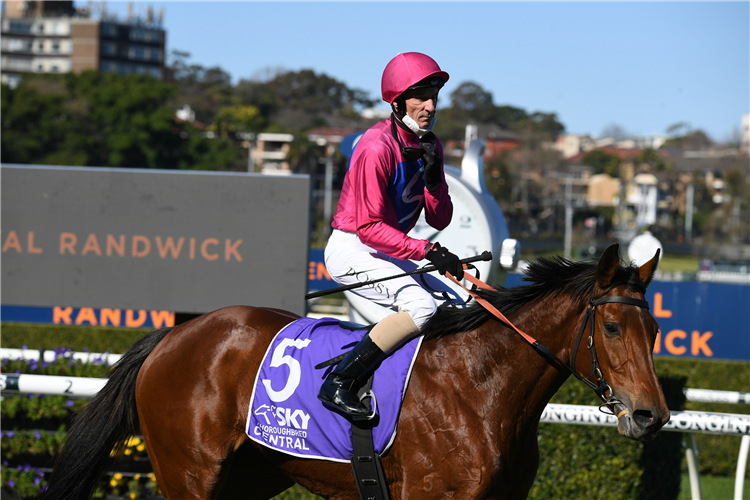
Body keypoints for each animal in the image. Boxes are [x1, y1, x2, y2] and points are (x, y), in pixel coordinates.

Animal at [44, 244, 672, 498]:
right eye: (611, 328)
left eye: (654, 330)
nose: (651, 416)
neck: (484, 385)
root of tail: (173, 334)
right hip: (188, 474)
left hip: (250, 475)